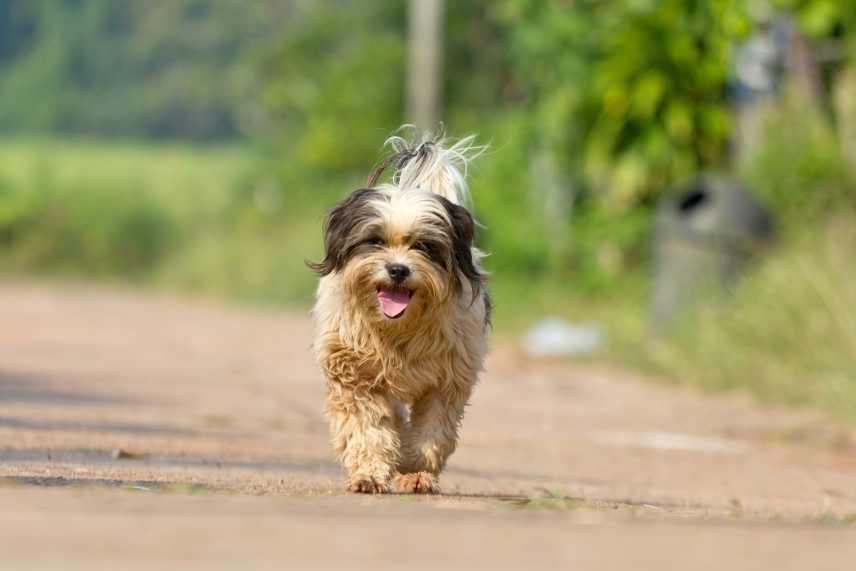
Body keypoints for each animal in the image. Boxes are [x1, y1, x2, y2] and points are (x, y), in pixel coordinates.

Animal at [310, 127, 492, 494]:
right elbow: (367, 429)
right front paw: (369, 474)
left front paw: (415, 470)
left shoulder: (448, 378)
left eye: (423, 246)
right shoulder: (354, 373)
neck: (397, 329)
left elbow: (431, 432)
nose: (397, 270)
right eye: (375, 241)